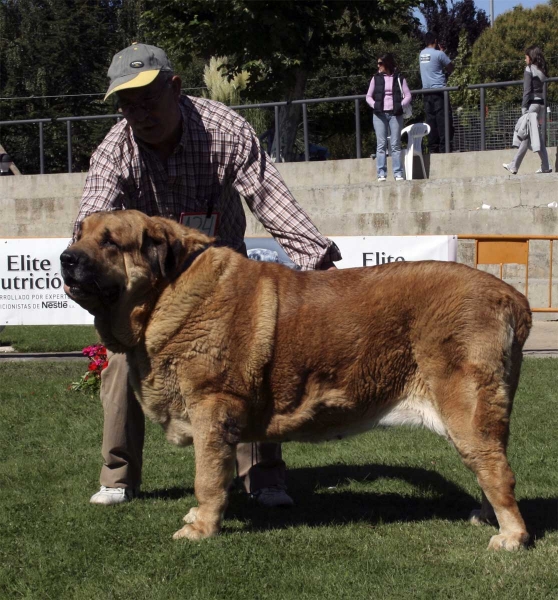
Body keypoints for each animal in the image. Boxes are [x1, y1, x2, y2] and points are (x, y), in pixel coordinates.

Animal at [61, 210, 532, 548]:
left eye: (110, 241)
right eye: (78, 234)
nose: (66, 258)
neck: (166, 292)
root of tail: (511, 296)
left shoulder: (211, 410)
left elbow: (208, 478)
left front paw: (201, 529)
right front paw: (199, 519)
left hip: (466, 409)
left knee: (496, 471)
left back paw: (510, 536)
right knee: (489, 467)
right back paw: (486, 517)